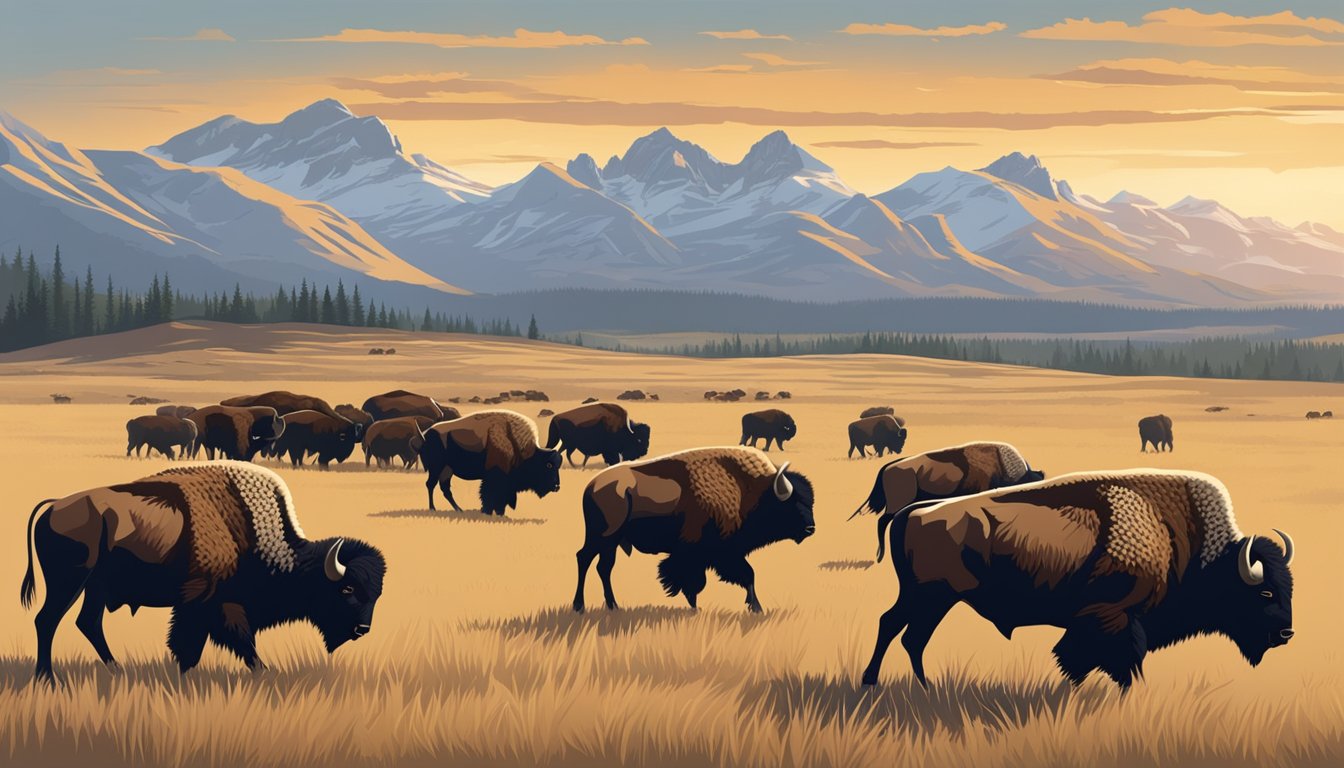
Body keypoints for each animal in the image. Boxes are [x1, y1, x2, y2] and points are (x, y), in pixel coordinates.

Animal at [21, 462, 389, 685]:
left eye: (376, 594)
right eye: (346, 589)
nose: (363, 629)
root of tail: (54, 506)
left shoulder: (208, 607)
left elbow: (202, 643)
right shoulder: (208, 603)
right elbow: (220, 641)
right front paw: (263, 672)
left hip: (94, 587)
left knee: (88, 622)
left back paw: (115, 668)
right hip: (70, 582)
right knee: (46, 620)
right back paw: (46, 678)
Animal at [422, 408, 564, 516]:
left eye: (559, 465)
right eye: (548, 465)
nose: (557, 487)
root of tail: (426, 434)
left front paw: (499, 513)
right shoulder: (496, 476)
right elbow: (490, 495)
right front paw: (488, 512)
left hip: (447, 469)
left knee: (445, 489)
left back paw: (459, 510)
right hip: (436, 468)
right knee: (431, 484)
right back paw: (433, 508)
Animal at [572, 443, 811, 613]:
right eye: (792, 504)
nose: (811, 528)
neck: (749, 491)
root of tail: (591, 486)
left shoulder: (720, 554)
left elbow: (744, 575)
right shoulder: (704, 551)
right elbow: (699, 578)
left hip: (610, 543)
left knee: (604, 567)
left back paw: (613, 605)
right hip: (602, 537)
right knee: (584, 559)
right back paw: (579, 606)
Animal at [860, 468, 1290, 688]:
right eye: (1265, 593)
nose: (1287, 634)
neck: (1176, 536)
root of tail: (916, 510)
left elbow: (1082, 662)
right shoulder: (1113, 618)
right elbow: (1113, 662)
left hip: (930, 599)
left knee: (904, 633)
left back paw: (913, 685)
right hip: (931, 597)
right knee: (898, 629)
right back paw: (880, 682)